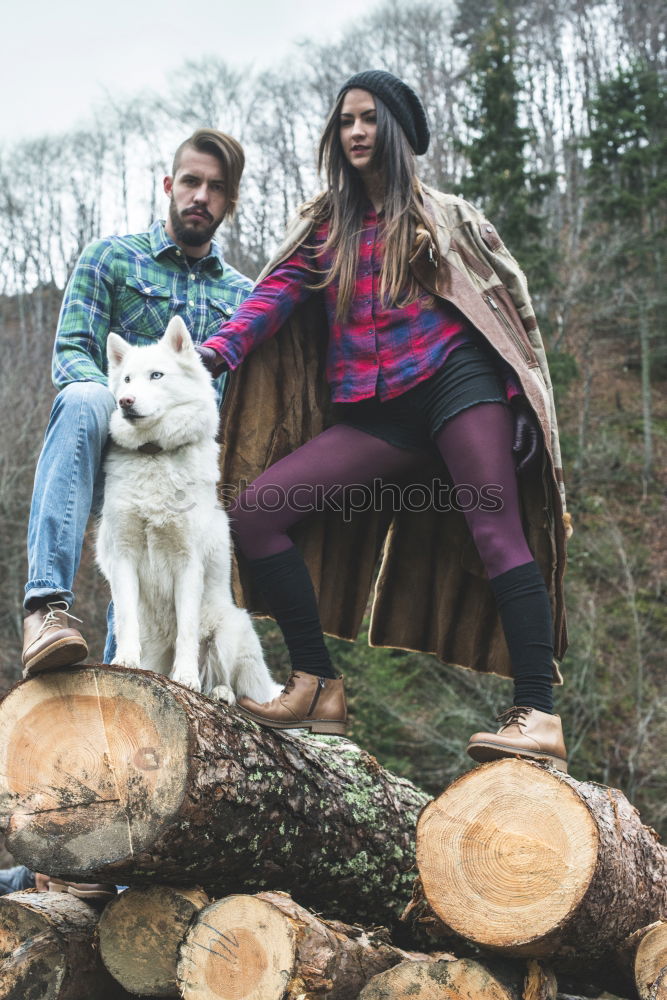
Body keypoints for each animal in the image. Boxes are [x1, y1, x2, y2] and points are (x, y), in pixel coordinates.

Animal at [96, 312, 280, 704]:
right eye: (127, 379)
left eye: (156, 375)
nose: (125, 401)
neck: (154, 455)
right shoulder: (123, 557)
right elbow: (127, 620)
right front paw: (124, 661)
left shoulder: (187, 562)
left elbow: (186, 631)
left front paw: (185, 679)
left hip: (230, 628)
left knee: (229, 681)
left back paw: (219, 692)